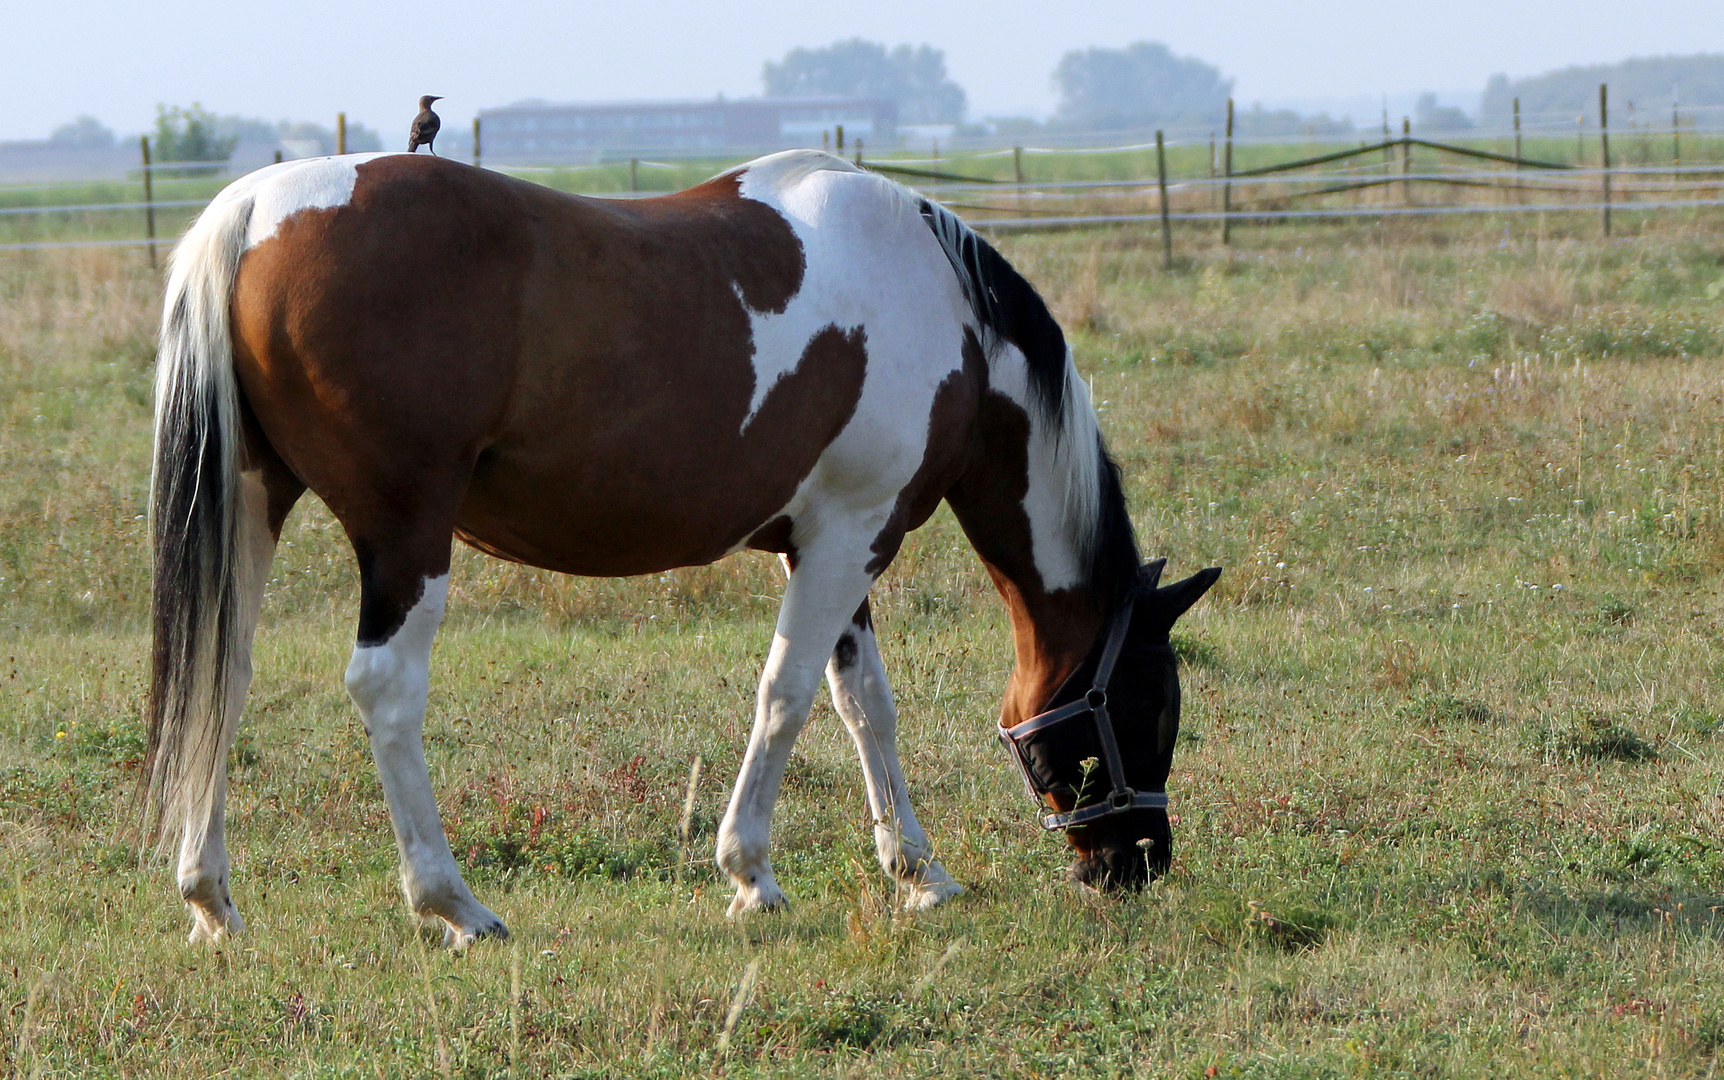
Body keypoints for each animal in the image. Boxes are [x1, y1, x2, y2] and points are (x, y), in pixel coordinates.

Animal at [151, 149, 1227, 938]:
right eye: (1150, 703)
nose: (1135, 865)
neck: (938, 303)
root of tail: (253, 211)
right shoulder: (849, 537)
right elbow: (787, 696)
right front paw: (752, 875)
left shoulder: (838, 542)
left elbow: (864, 706)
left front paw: (918, 873)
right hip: (404, 536)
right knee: (384, 691)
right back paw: (453, 904)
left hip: (254, 509)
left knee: (222, 677)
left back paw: (211, 899)